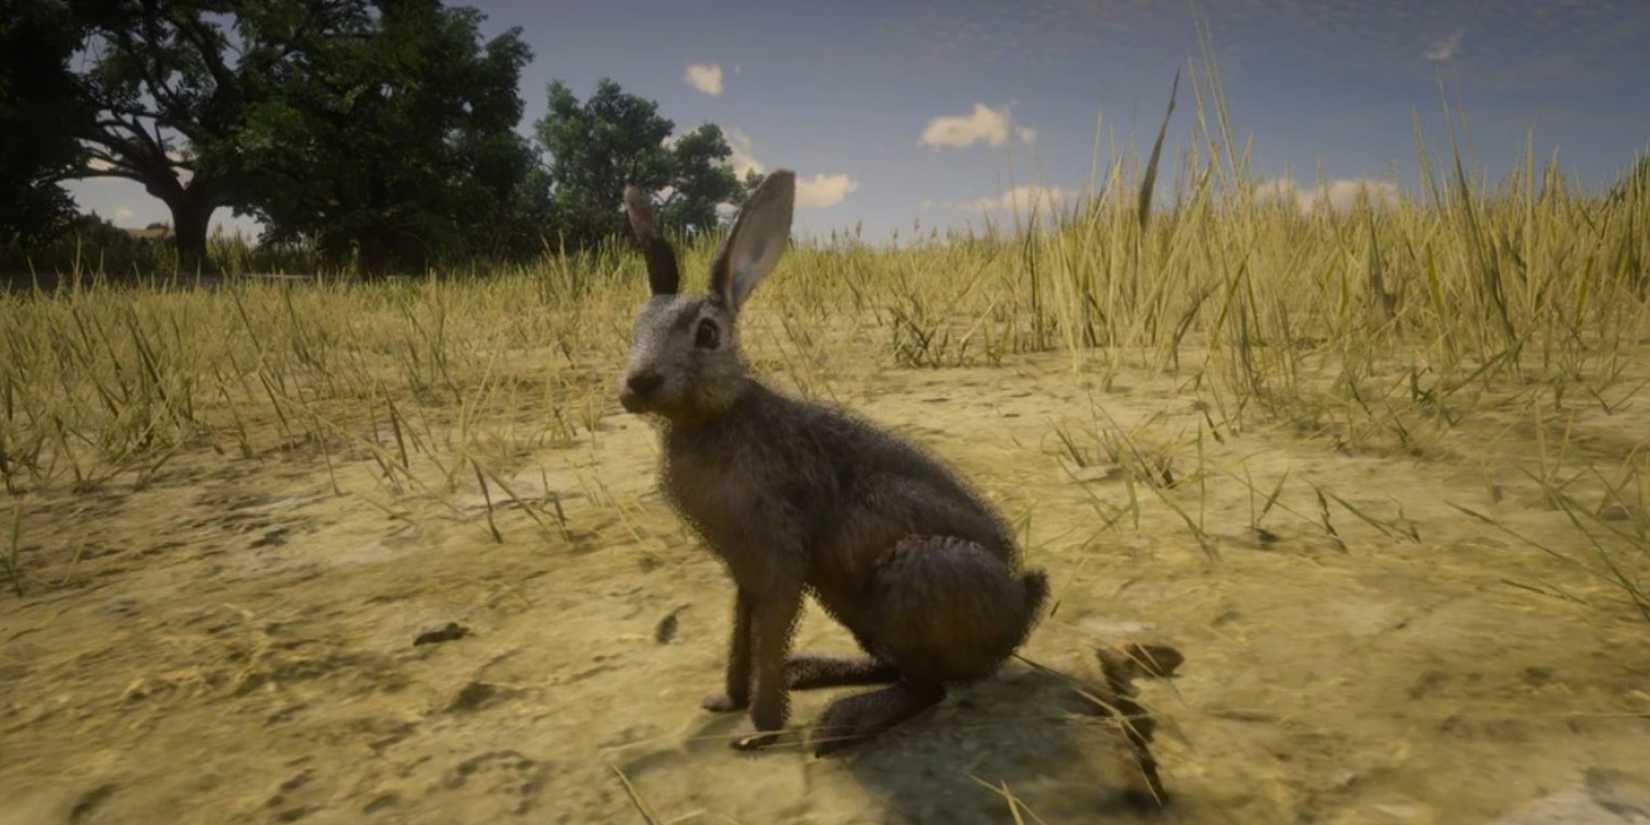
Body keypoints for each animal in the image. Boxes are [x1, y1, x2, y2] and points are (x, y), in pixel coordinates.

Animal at [617, 169, 1050, 756]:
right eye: (635, 328)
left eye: (708, 334)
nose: (637, 383)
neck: (712, 418)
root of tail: (1022, 605)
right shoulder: (743, 570)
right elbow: (739, 633)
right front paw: (725, 701)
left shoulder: (777, 560)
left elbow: (767, 636)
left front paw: (759, 731)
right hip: (857, 606)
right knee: (900, 670)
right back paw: (814, 674)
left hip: (915, 578)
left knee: (927, 687)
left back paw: (839, 722)